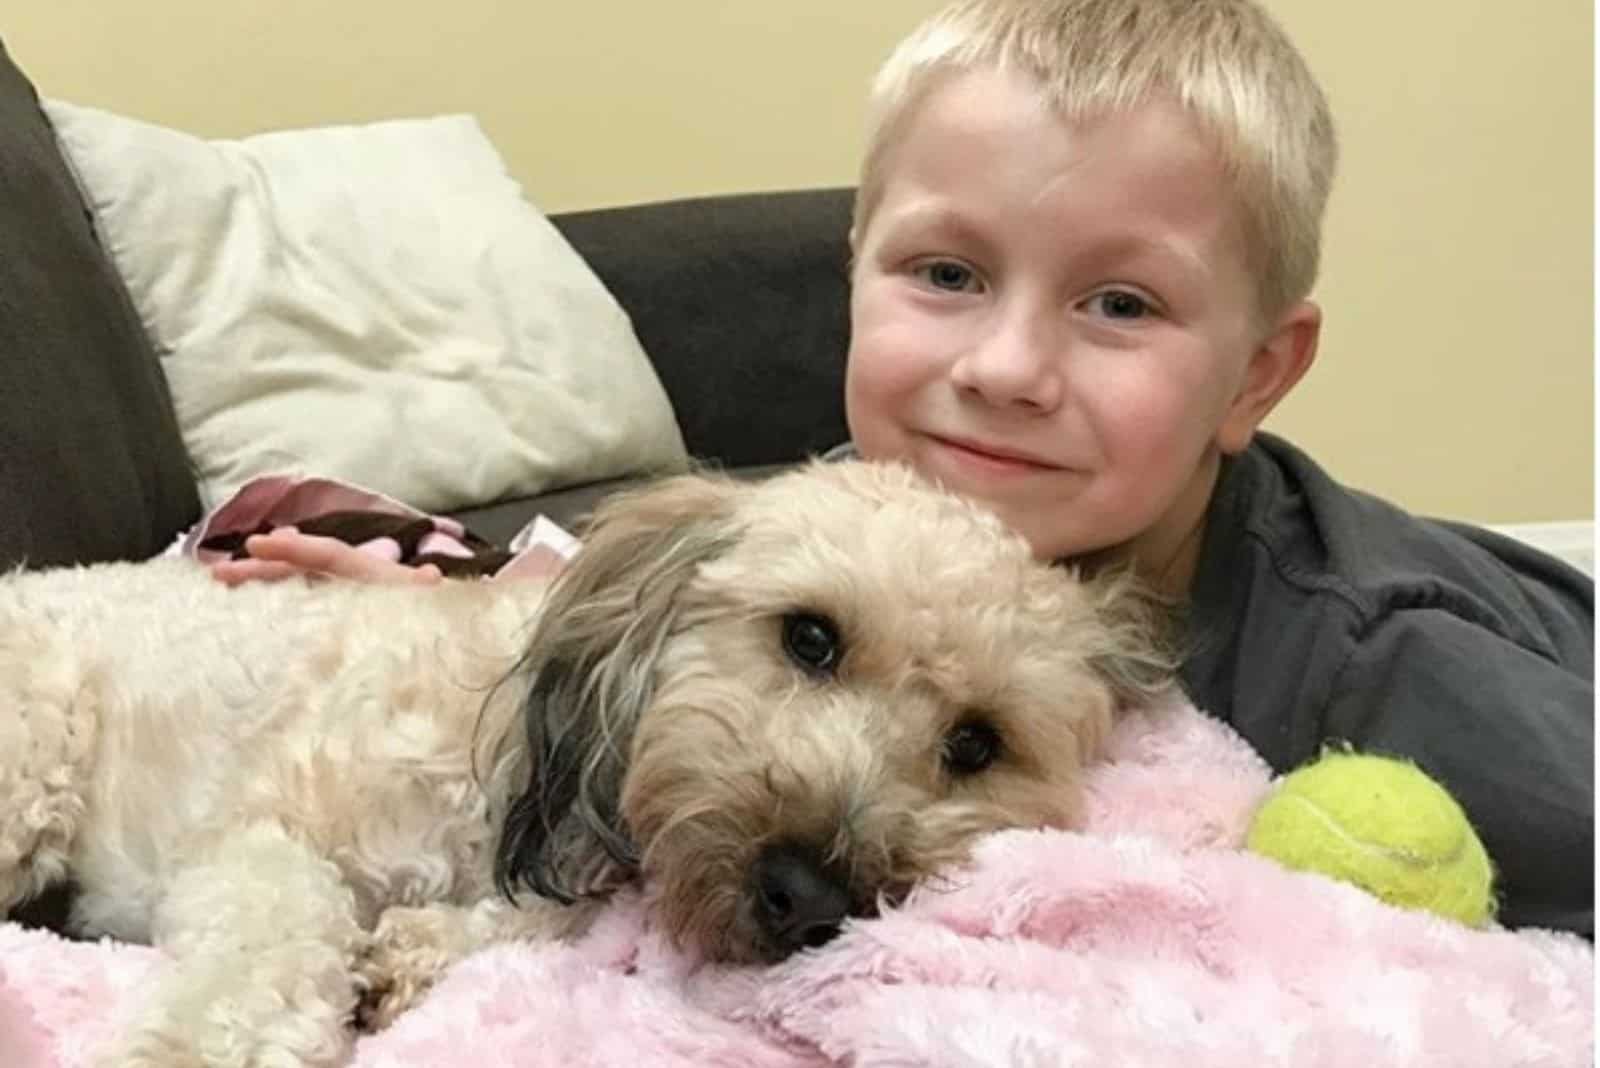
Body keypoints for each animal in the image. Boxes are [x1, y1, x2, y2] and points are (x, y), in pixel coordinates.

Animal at [0, 463, 1177, 1068]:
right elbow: (264, 957)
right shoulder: (266, 835)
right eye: (810, 638)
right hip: (33, 760)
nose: (806, 896)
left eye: (975, 743)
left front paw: (409, 956)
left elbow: (532, 927)